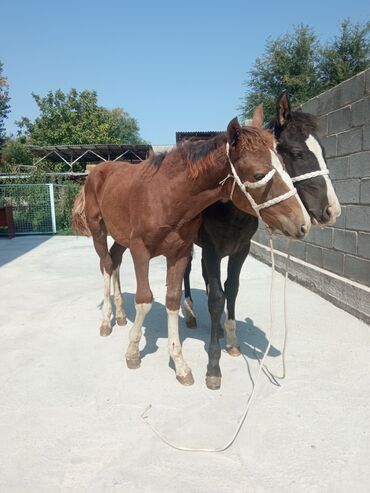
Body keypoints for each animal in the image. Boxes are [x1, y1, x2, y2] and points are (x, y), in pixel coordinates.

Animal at [71, 109, 310, 386]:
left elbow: (173, 301)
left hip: (121, 237)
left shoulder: (179, 253)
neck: (166, 197)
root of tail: (96, 171)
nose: (302, 223)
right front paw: (132, 351)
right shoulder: (141, 250)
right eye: (259, 175)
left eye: (284, 165)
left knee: (114, 260)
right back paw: (106, 322)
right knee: (106, 265)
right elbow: (144, 299)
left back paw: (120, 315)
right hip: (98, 232)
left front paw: (180, 364)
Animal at [182, 92, 342, 388]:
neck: (229, 206)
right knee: (186, 271)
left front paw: (232, 341)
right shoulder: (211, 250)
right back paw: (189, 312)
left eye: (324, 153)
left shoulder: (240, 250)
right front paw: (213, 367)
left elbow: (230, 289)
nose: (331, 211)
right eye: (296, 153)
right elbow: (216, 299)